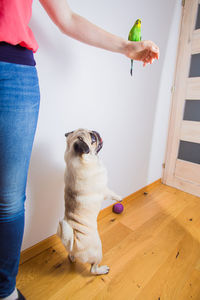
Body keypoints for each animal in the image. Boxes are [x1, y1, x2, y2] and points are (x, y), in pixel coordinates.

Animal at [56, 128, 122, 274]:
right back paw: (102, 270)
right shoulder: (104, 190)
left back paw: (72, 258)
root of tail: (74, 243)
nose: (95, 132)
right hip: (98, 251)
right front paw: (119, 197)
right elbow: (112, 194)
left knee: (71, 255)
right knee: (93, 269)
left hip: (73, 251)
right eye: (92, 139)